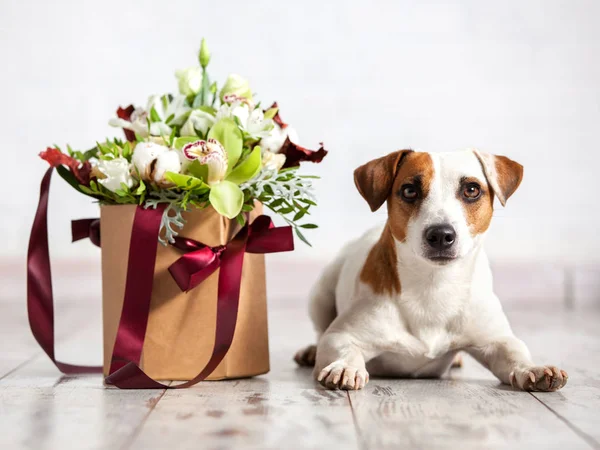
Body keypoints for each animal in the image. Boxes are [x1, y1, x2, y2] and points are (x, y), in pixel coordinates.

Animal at [294, 149, 568, 392]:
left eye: (471, 189)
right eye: (409, 190)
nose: (441, 234)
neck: (433, 284)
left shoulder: (495, 340)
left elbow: (513, 351)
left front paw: (532, 369)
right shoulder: (341, 335)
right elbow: (341, 345)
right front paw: (344, 367)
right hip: (321, 293)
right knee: (320, 330)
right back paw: (310, 351)